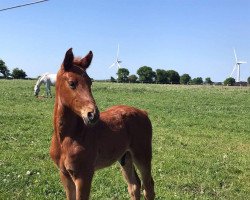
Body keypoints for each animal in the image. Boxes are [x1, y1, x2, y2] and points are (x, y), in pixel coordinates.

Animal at [49, 47, 155, 199]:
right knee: (134, 186)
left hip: (142, 155)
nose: (93, 114)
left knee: (148, 187)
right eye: (72, 83)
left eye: (90, 82)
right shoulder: (64, 174)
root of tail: (143, 112)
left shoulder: (84, 175)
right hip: (125, 157)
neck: (67, 138)